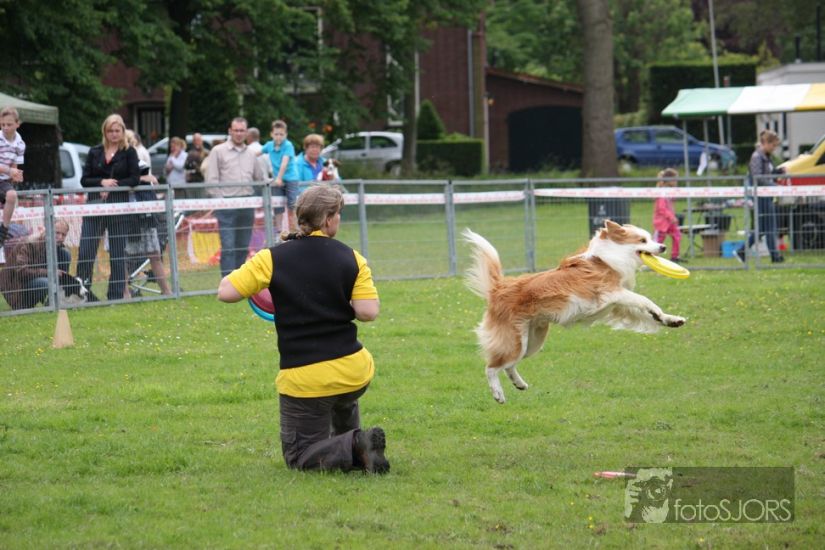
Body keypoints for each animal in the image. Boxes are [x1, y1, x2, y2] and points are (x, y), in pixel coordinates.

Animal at [463, 220, 686, 404]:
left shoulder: (617, 306)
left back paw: (519, 384)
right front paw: (658, 312)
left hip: (531, 342)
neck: (610, 256)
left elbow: (643, 313)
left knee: (508, 366)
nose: (663, 246)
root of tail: (498, 288)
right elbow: (645, 300)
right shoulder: (612, 293)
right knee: (491, 367)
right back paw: (498, 394)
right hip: (514, 341)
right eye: (643, 240)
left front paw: (670, 319)